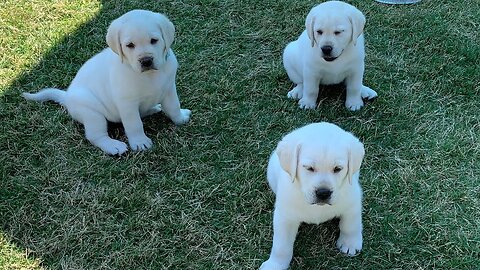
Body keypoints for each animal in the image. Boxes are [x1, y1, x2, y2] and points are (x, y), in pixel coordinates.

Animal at [23, 9, 189, 155]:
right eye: (130, 45)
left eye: (154, 40)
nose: (146, 61)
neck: (150, 76)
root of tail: (67, 96)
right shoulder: (127, 104)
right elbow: (134, 124)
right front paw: (139, 142)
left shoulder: (169, 89)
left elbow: (174, 107)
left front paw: (180, 118)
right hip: (92, 114)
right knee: (95, 136)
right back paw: (113, 146)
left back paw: (153, 108)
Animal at [260, 123, 366, 270]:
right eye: (309, 168)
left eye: (338, 169)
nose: (323, 193)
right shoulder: (285, 217)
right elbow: (281, 246)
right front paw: (275, 265)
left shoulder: (353, 202)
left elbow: (351, 225)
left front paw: (349, 243)